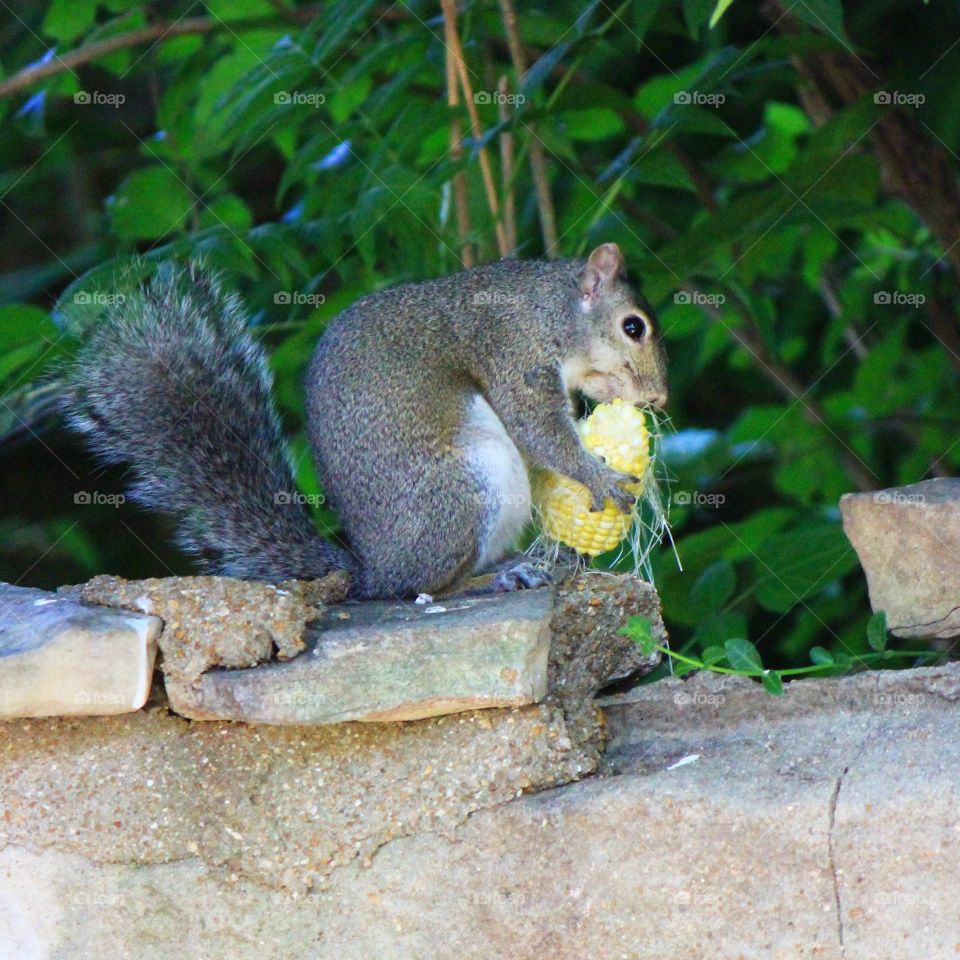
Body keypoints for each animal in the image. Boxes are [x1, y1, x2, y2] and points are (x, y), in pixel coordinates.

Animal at [65, 242, 668, 600]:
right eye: (633, 327)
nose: (660, 399)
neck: (550, 309)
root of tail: (374, 569)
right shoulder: (512, 351)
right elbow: (537, 427)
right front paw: (598, 476)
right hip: (466, 486)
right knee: (430, 588)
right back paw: (496, 575)